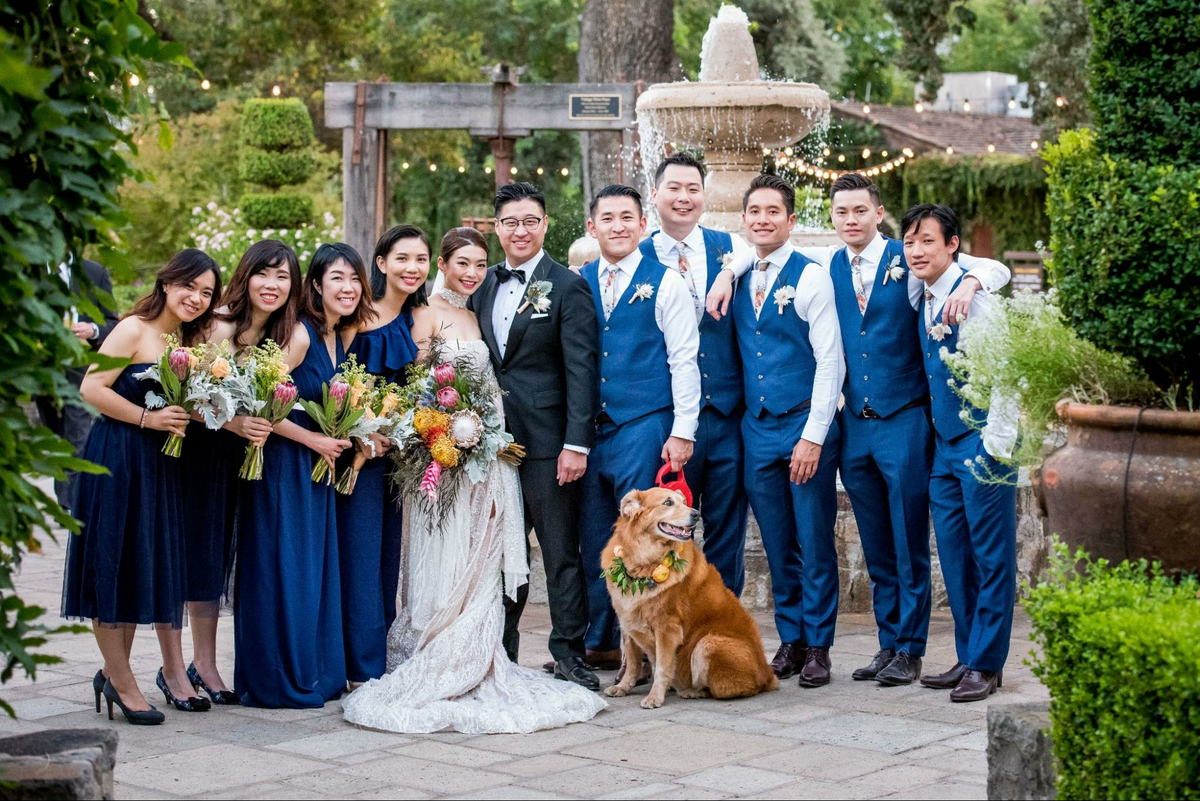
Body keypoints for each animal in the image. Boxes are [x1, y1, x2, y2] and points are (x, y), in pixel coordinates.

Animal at [600, 489, 777, 705]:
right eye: (668, 503)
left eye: (684, 502)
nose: (696, 514)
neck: (644, 561)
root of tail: (767, 674)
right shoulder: (628, 622)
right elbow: (632, 664)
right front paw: (623, 687)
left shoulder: (667, 628)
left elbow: (662, 667)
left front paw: (655, 697)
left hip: (707, 644)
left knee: (724, 690)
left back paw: (691, 691)